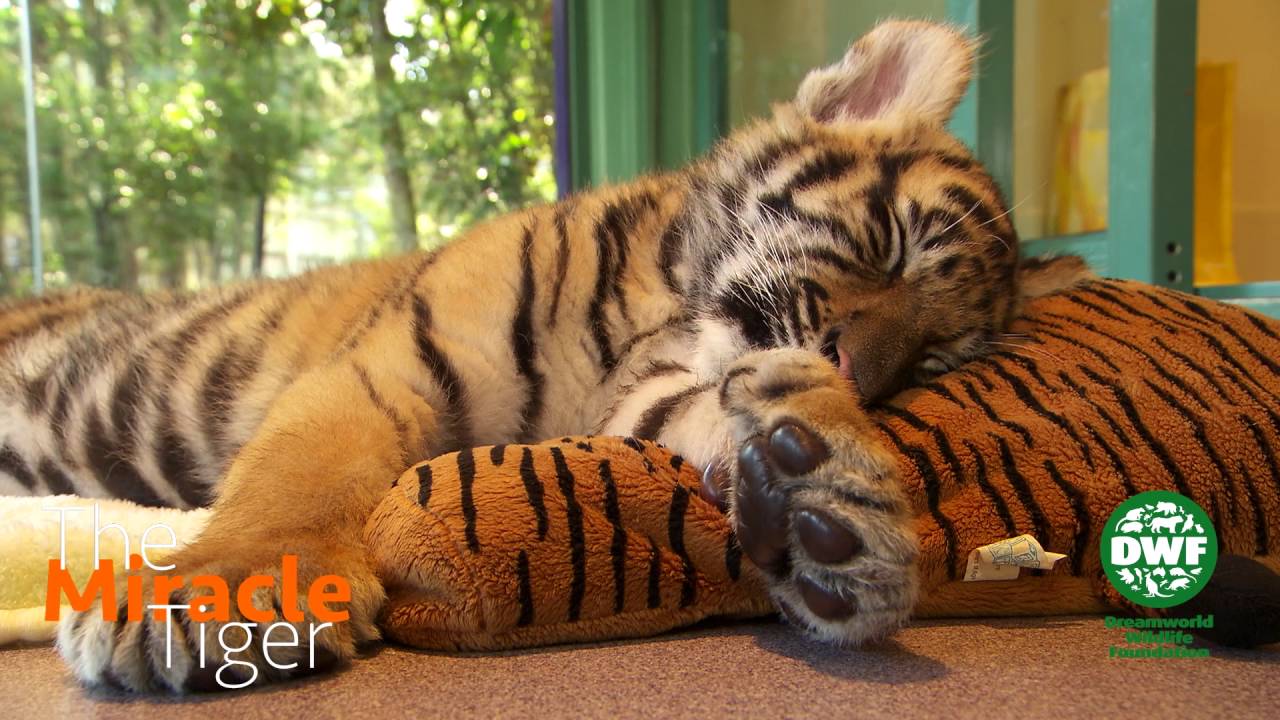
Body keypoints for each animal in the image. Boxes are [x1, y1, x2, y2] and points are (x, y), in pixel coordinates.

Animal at [0, 20, 1086, 692]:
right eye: (885, 242)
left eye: (935, 356)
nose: (857, 367)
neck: (664, 311)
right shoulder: (384, 371)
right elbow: (294, 478)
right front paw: (214, 591)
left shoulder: (642, 398)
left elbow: (719, 423)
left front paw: (834, 505)